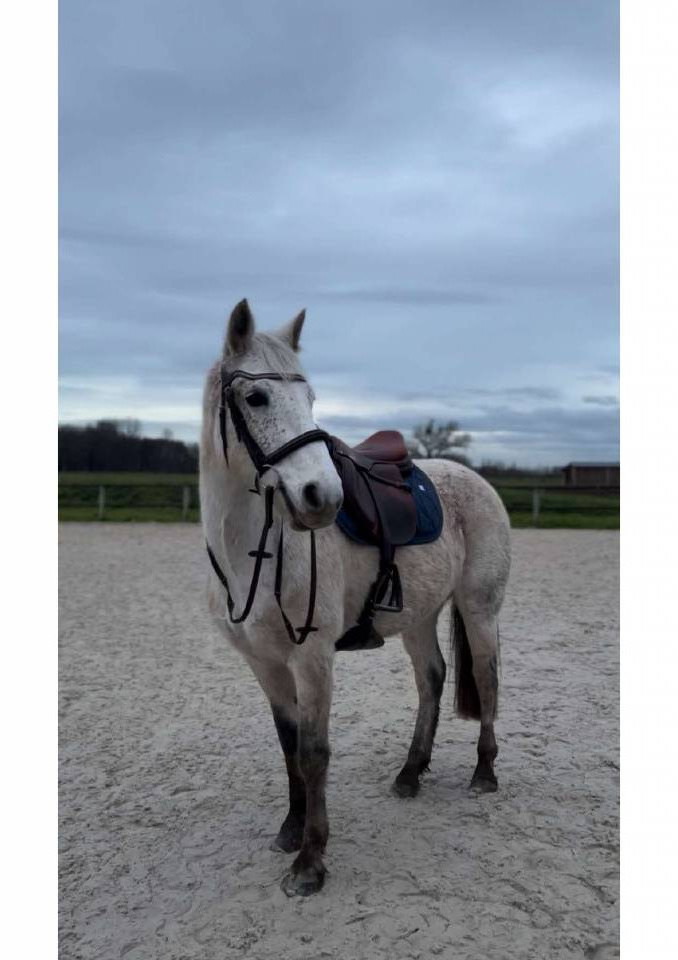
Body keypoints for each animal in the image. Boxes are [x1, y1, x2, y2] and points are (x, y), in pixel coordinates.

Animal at [199, 299, 511, 897]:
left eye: (311, 399)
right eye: (256, 397)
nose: (322, 498)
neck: (253, 547)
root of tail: (472, 477)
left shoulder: (313, 658)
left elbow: (314, 752)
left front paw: (311, 862)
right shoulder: (265, 663)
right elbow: (288, 746)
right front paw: (291, 830)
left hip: (479, 609)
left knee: (486, 679)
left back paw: (484, 774)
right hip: (418, 617)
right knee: (432, 678)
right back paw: (410, 774)